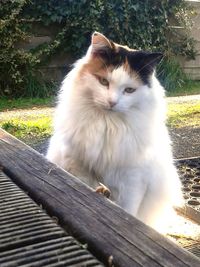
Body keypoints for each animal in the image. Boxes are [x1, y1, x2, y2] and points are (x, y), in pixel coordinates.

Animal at [46, 31, 183, 232]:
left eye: (129, 90)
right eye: (104, 81)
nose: (112, 102)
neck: (107, 125)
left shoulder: (133, 180)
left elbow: (127, 211)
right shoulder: (77, 166)